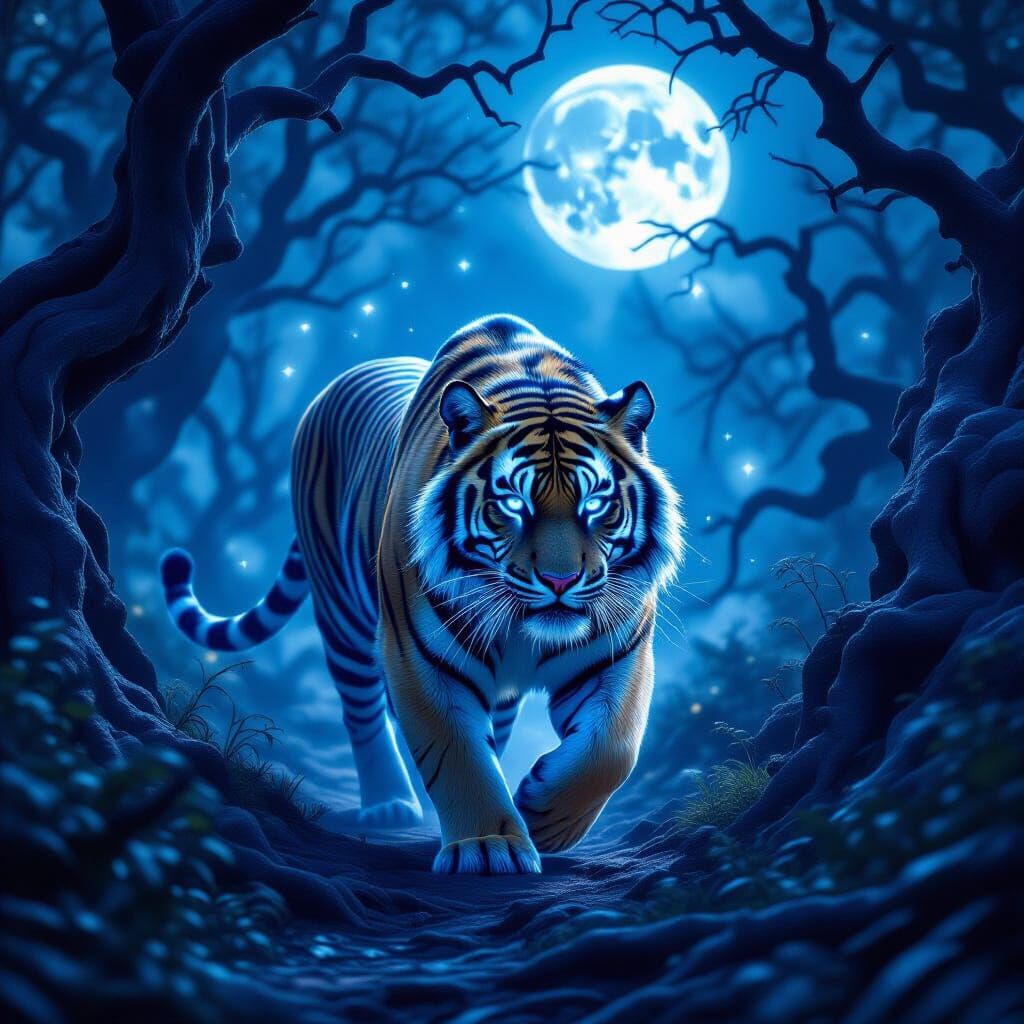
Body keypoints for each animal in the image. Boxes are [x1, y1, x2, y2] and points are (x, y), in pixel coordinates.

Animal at [161, 315, 683, 874]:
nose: (560, 581)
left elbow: (613, 748)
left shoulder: (619, 654)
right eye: (513, 503)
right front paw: (488, 846)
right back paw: (389, 805)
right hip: (343, 617)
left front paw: (544, 819)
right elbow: (456, 754)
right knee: (362, 710)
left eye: (596, 503)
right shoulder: (420, 657)